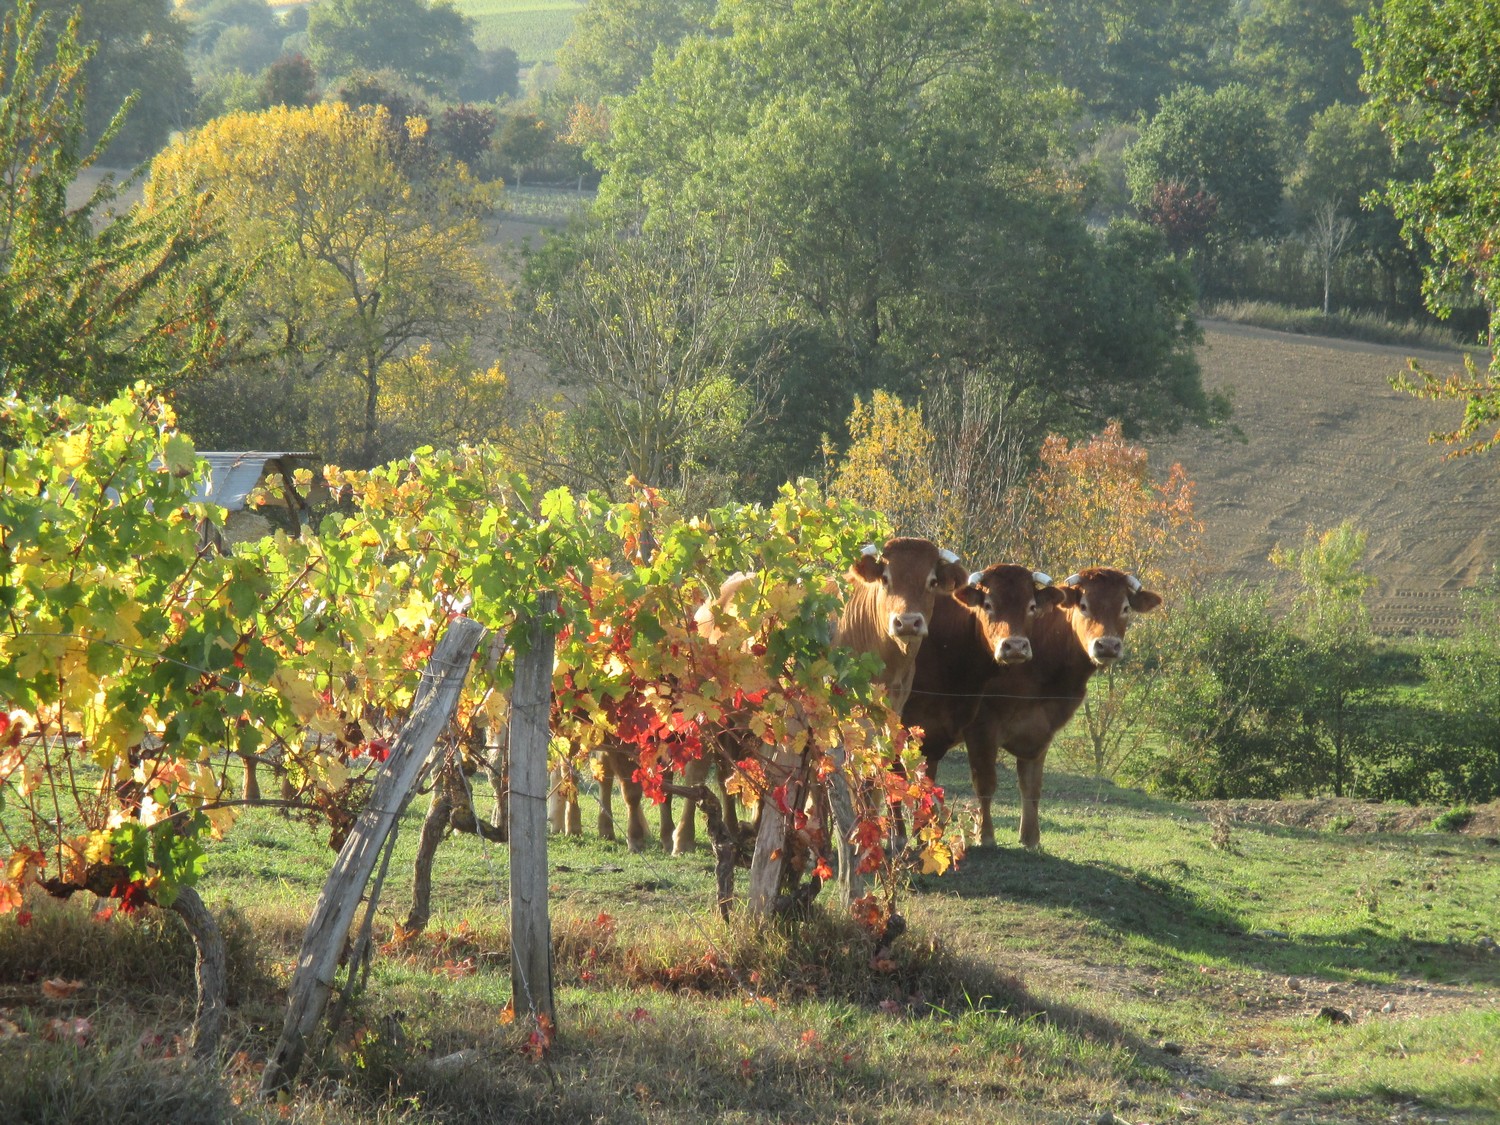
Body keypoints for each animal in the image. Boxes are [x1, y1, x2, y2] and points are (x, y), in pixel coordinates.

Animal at [954, 567, 1164, 852]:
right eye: (1084, 606)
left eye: (1125, 607)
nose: (1108, 645)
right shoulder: (981, 727)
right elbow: (985, 782)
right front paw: (985, 836)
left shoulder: (1041, 731)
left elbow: (1032, 786)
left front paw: (1031, 838)